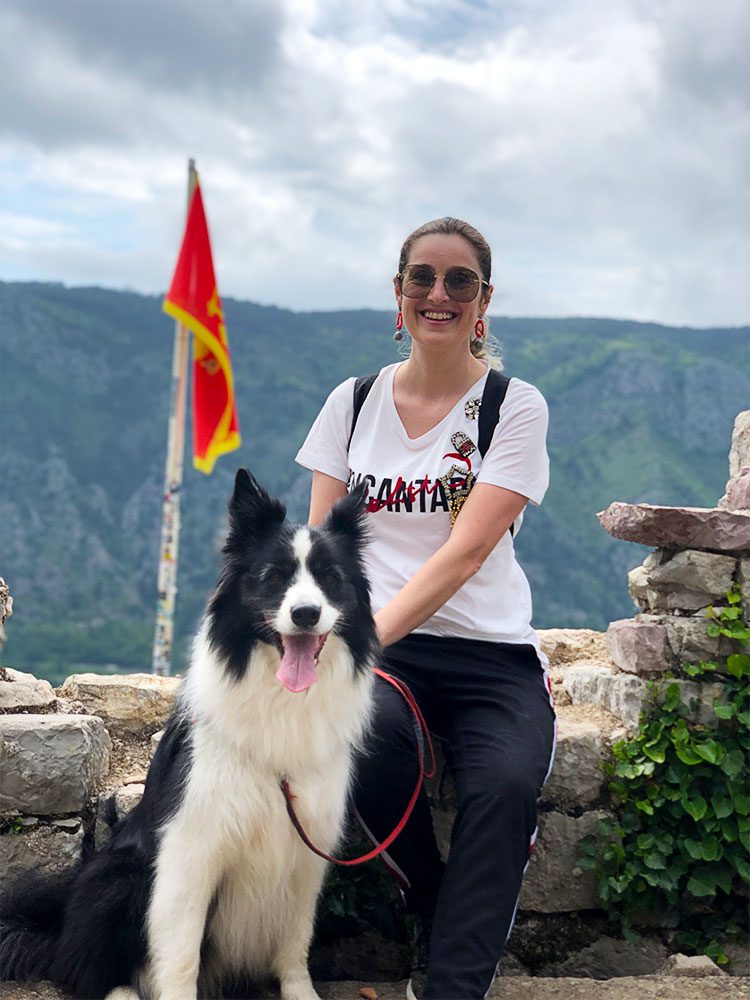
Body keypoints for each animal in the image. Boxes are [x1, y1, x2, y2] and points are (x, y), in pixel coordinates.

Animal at [1, 472, 382, 1000]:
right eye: (273, 576)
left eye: (331, 577)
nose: (306, 613)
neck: (280, 701)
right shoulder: (191, 846)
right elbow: (180, 955)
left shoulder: (308, 844)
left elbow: (295, 942)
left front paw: (300, 992)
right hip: (118, 874)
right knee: (80, 967)